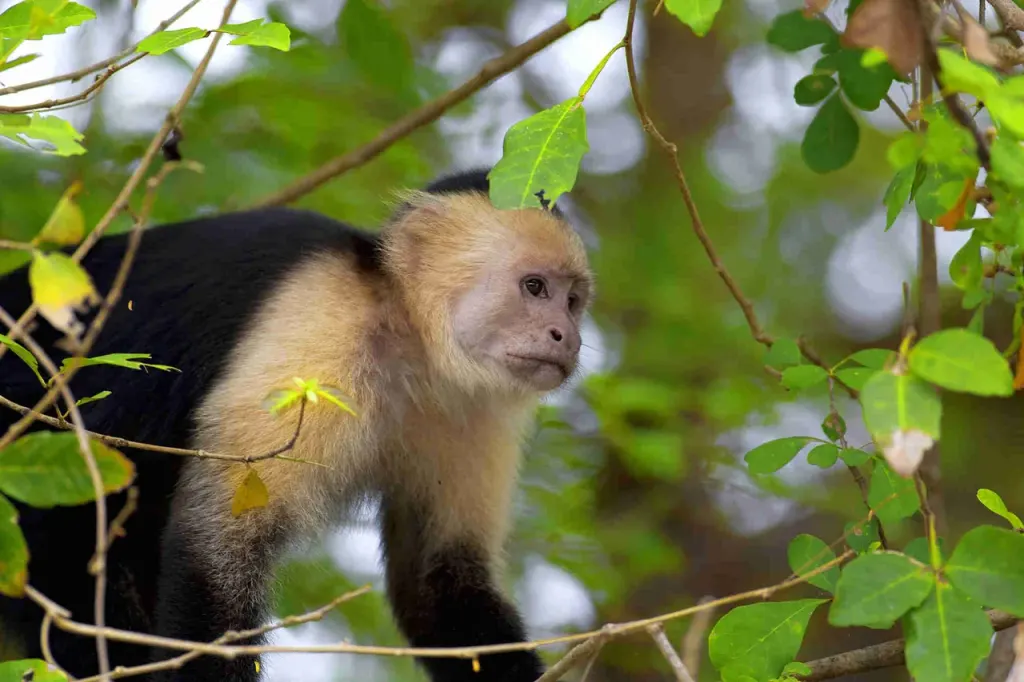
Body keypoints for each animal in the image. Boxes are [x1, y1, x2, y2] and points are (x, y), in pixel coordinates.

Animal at [0, 169, 592, 681]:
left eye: (573, 301)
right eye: (534, 287)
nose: (568, 336)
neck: (408, 343)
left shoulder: (472, 409)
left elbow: (439, 583)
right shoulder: (322, 326)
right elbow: (218, 546)